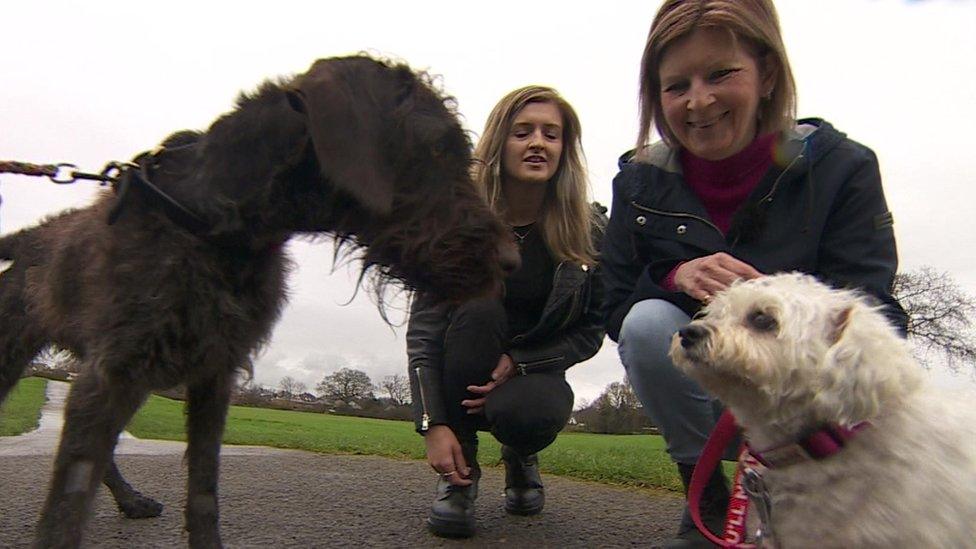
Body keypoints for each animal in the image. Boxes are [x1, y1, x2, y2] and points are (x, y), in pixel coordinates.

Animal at [0, 54, 520, 544]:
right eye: (438, 145)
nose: (512, 261)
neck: (222, 227)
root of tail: (25, 240)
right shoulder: (114, 373)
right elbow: (67, 508)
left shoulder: (214, 375)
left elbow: (203, 495)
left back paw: (131, 500)